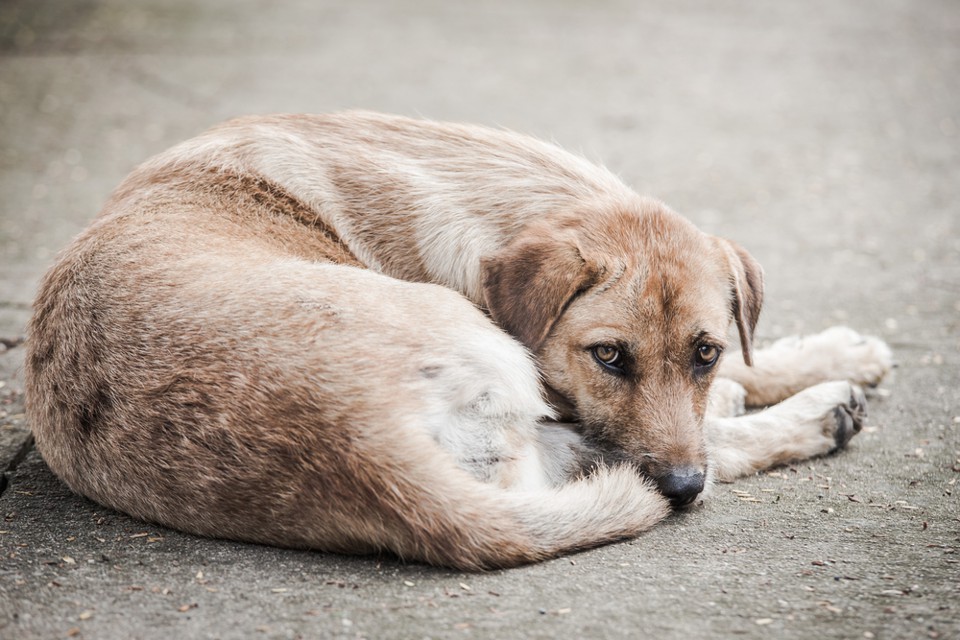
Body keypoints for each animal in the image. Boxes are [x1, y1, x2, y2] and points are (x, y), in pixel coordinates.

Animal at [24, 110, 892, 568]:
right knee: (664, 459)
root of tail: (359, 445)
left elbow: (748, 362)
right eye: (609, 356)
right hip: (499, 382)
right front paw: (799, 385)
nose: (679, 487)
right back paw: (813, 416)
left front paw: (824, 354)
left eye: (704, 351)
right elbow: (697, 431)